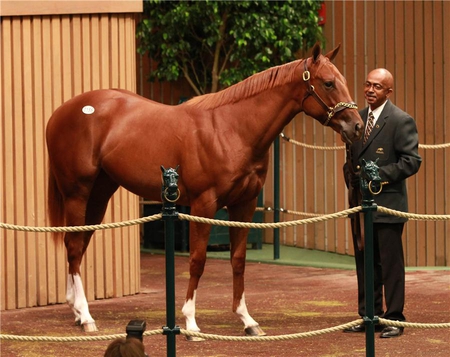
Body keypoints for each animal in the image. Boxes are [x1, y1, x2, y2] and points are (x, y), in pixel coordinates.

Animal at [45, 43, 364, 334]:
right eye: (328, 83)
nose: (357, 126)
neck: (233, 129)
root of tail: (59, 113)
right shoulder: (203, 205)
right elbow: (198, 260)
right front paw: (190, 322)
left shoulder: (244, 205)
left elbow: (238, 260)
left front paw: (247, 320)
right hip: (77, 192)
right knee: (74, 246)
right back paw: (86, 316)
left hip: (99, 193)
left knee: (78, 243)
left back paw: (77, 311)